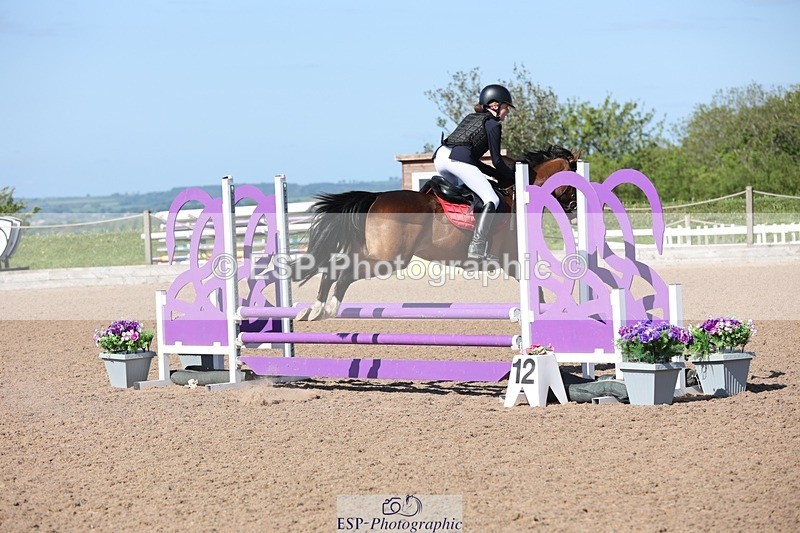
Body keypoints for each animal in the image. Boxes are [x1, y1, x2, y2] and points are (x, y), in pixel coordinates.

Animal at [292, 146, 580, 321]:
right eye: (573, 182)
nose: (574, 209)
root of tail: (375, 198)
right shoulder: (513, 259)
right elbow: (536, 289)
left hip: (372, 251)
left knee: (334, 267)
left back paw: (315, 308)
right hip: (390, 259)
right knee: (345, 272)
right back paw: (329, 307)